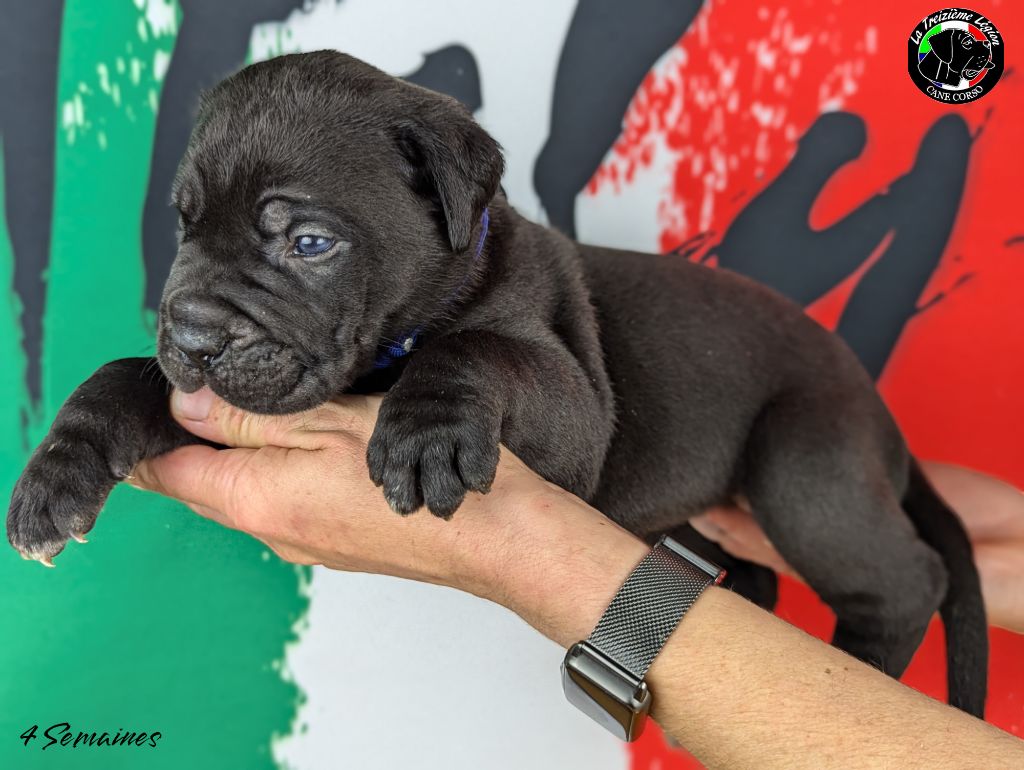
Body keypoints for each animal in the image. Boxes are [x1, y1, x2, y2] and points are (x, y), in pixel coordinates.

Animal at [4, 52, 987, 716]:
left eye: (309, 243)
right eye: (184, 225)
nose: (193, 335)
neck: (382, 357)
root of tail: (880, 415)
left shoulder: (575, 407)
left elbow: (478, 349)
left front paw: (427, 430)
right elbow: (118, 379)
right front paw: (58, 472)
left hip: (805, 457)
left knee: (908, 576)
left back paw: (866, 667)